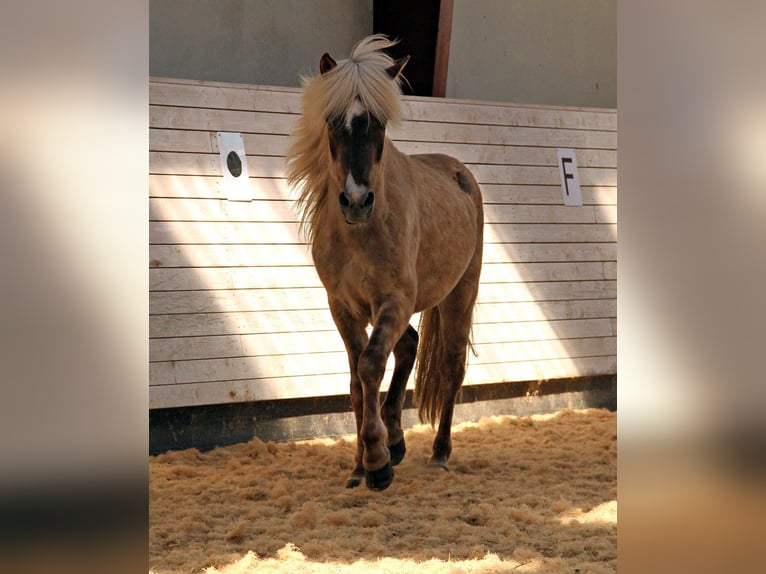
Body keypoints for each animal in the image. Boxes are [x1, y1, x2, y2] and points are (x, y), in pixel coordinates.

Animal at [284, 33, 484, 492]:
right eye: (332, 120)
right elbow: (357, 381)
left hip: (459, 295)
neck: (360, 233)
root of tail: (458, 172)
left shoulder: (393, 300)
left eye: (380, 124)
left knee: (451, 368)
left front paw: (376, 463)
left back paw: (439, 454)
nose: (357, 200)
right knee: (408, 345)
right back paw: (396, 439)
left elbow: (371, 364)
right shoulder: (343, 307)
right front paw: (361, 466)